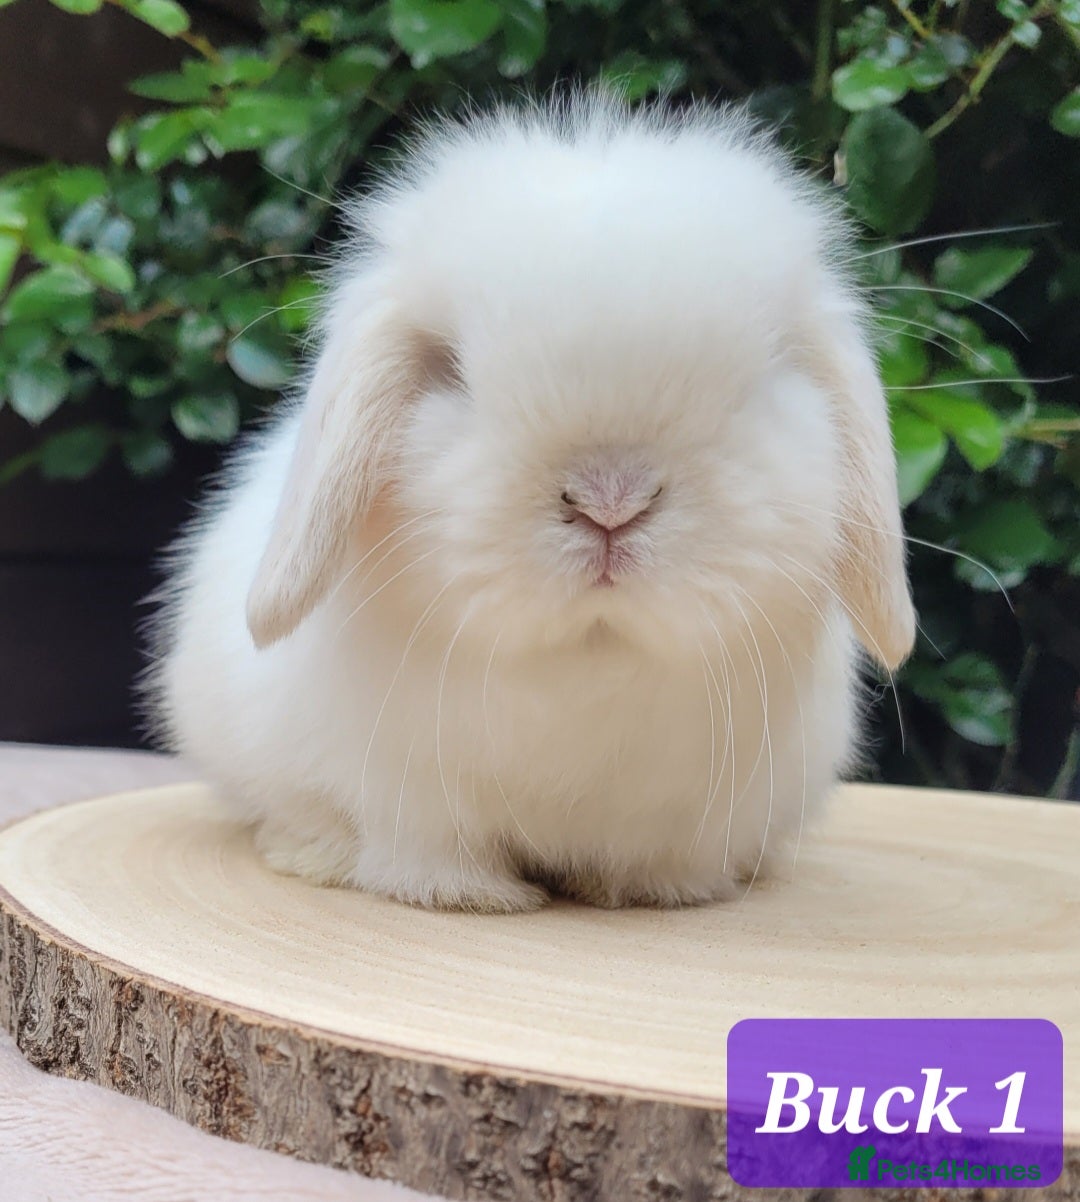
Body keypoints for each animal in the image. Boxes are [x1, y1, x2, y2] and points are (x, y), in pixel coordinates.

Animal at [146, 93, 915, 913]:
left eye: (764, 375)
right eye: (451, 370)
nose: (610, 501)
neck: (587, 663)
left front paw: (653, 891)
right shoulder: (409, 796)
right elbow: (423, 852)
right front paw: (468, 897)